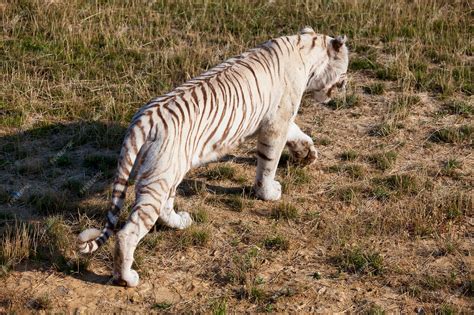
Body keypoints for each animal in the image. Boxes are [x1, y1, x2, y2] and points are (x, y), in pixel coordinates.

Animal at [78, 27, 348, 288]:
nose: (345, 84)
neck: (305, 46)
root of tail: (142, 121)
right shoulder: (276, 123)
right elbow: (269, 163)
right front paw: (269, 192)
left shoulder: (277, 119)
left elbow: (298, 133)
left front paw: (307, 155)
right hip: (158, 179)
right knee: (128, 233)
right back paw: (126, 279)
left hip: (168, 174)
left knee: (164, 207)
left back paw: (181, 222)